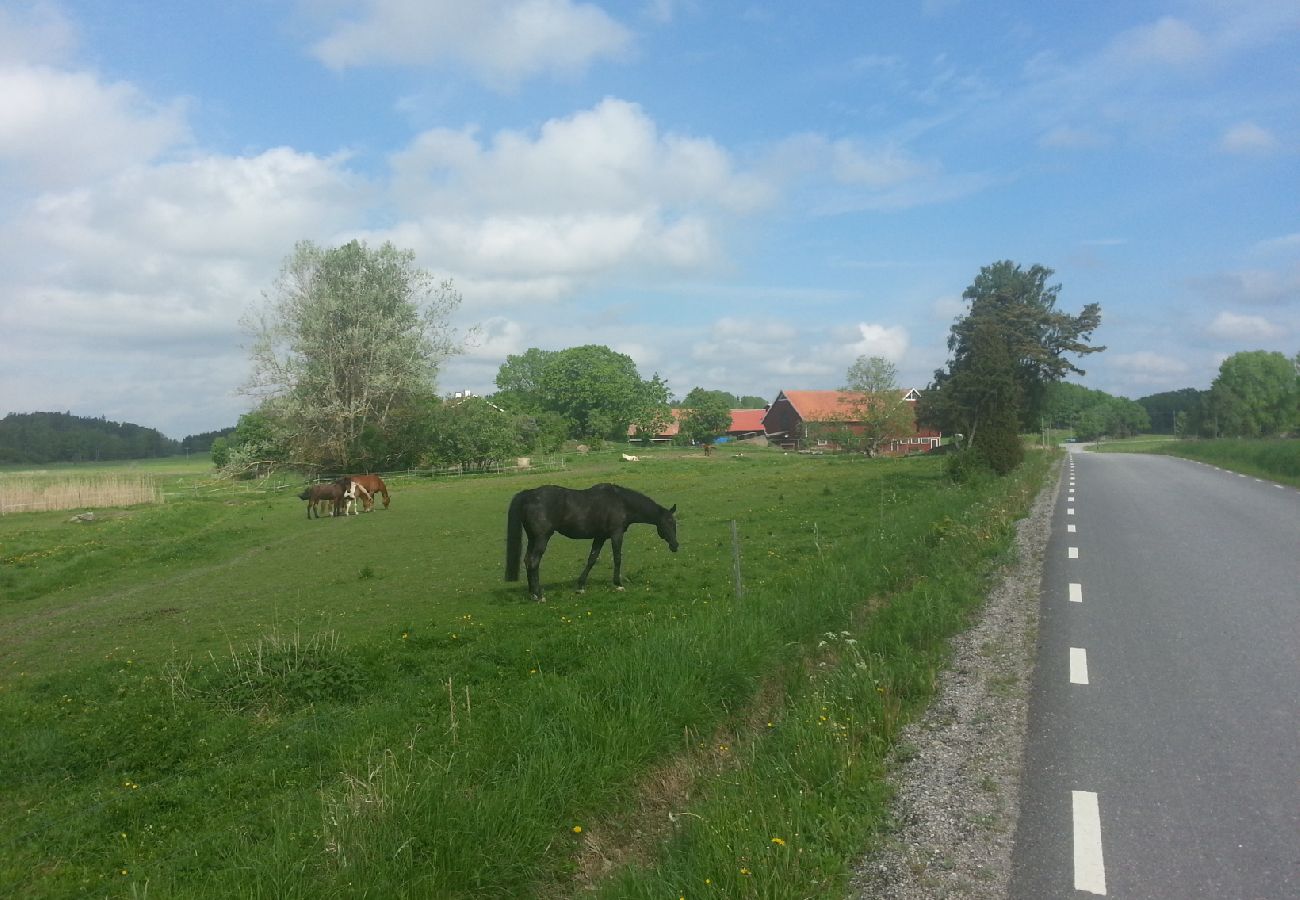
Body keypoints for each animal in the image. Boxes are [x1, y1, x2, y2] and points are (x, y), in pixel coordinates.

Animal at [501, 481, 676, 600]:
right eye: (670, 522)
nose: (676, 545)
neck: (621, 502)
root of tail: (529, 494)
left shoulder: (600, 537)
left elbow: (592, 559)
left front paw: (580, 587)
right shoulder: (616, 534)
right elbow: (617, 558)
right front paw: (618, 584)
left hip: (532, 538)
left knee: (527, 561)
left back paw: (532, 593)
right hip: (541, 539)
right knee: (533, 562)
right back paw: (539, 595)